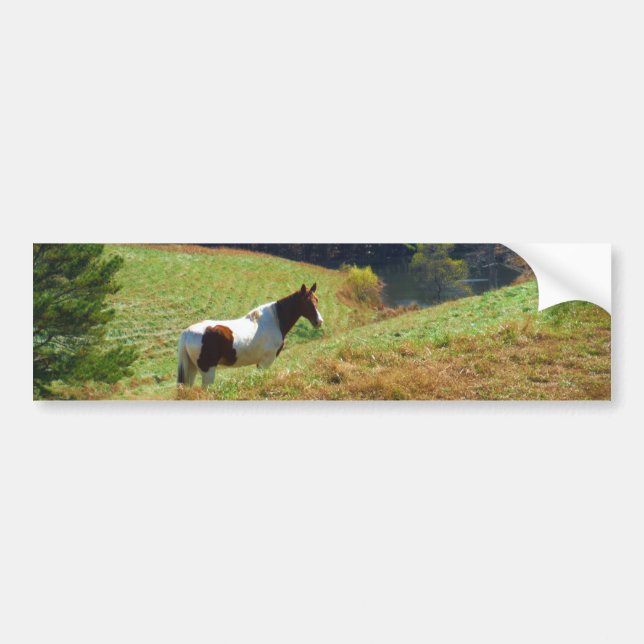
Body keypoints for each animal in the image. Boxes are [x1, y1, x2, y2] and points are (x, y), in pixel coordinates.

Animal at [177, 283, 324, 388]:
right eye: (307, 302)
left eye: (316, 300)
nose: (319, 321)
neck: (274, 320)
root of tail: (187, 332)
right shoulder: (266, 362)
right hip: (207, 371)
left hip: (192, 369)